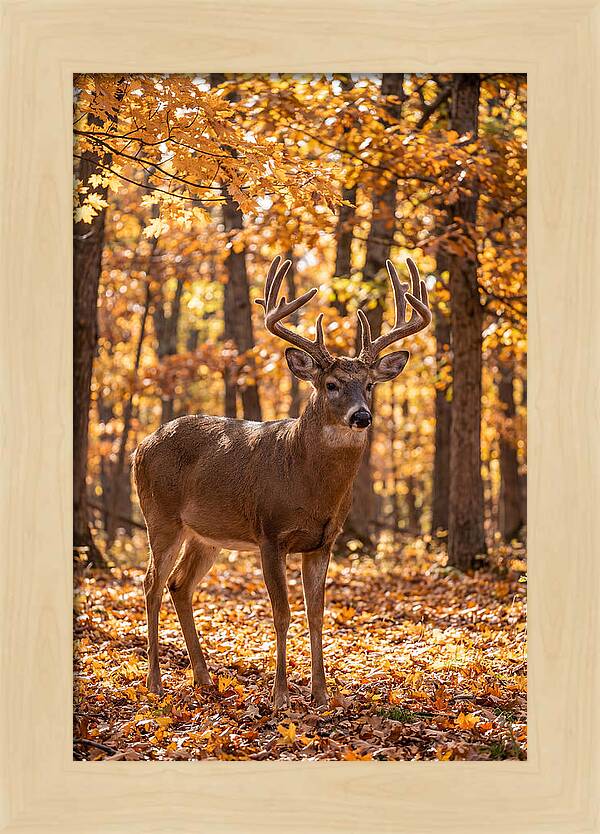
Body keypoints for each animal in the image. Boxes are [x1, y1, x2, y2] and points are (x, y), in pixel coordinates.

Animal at [133, 255, 431, 708]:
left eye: (369, 384)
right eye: (331, 384)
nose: (362, 416)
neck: (307, 483)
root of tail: (141, 445)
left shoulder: (324, 541)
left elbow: (316, 614)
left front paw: (322, 695)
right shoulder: (270, 533)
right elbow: (282, 613)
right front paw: (280, 695)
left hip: (206, 534)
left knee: (179, 585)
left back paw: (203, 678)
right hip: (161, 517)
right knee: (151, 583)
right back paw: (154, 682)